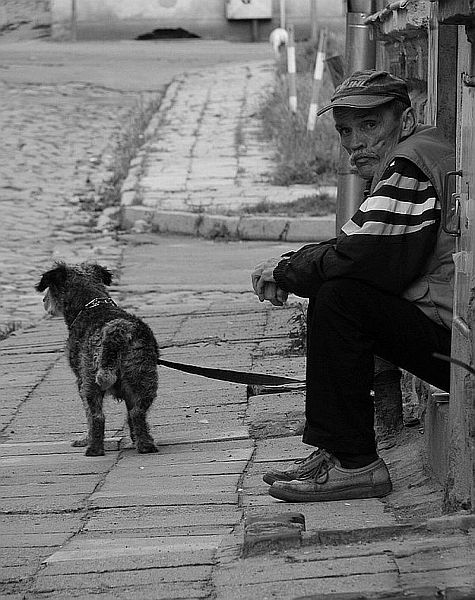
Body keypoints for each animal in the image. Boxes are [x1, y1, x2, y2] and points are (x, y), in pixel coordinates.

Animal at [36, 262, 160, 454]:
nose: (43, 301)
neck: (92, 304)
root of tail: (117, 330)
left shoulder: (80, 380)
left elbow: (88, 416)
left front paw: (85, 439)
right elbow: (129, 414)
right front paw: (134, 439)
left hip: (90, 380)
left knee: (97, 416)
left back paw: (94, 448)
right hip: (143, 376)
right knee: (137, 412)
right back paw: (145, 444)